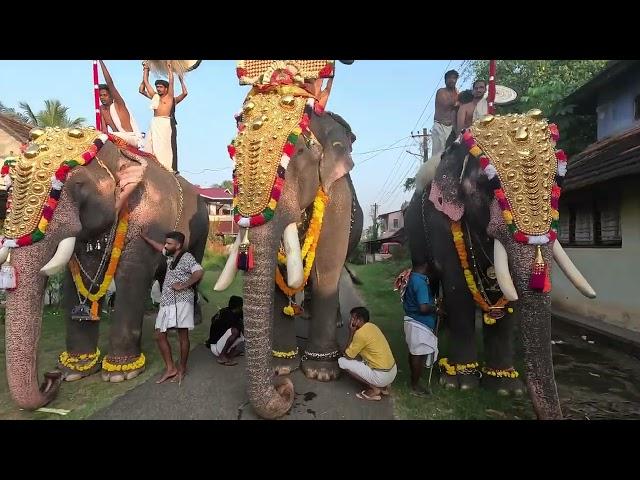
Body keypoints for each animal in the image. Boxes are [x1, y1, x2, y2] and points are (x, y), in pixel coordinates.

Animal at [0, 129, 208, 410]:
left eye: (78, 185)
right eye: (9, 189)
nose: (50, 378)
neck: (114, 153)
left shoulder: (148, 218)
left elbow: (131, 275)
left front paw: (121, 373)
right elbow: (78, 279)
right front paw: (74, 371)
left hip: (201, 230)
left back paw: (192, 321)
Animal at [404, 110, 596, 418]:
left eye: (558, 185)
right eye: (489, 185)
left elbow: (506, 298)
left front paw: (505, 388)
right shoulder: (440, 220)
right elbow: (458, 287)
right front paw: (461, 384)